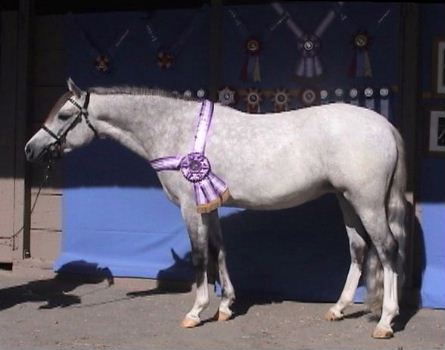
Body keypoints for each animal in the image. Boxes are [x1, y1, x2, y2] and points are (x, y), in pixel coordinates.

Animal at [25, 79, 406, 340]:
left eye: (64, 114)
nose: (31, 149)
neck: (176, 130)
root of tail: (385, 125)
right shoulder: (208, 204)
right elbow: (219, 251)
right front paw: (225, 306)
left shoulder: (190, 208)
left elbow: (199, 256)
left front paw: (196, 311)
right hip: (346, 199)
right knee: (359, 249)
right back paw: (338, 309)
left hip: (367, 201)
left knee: (387, 249)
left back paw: (386, 321)